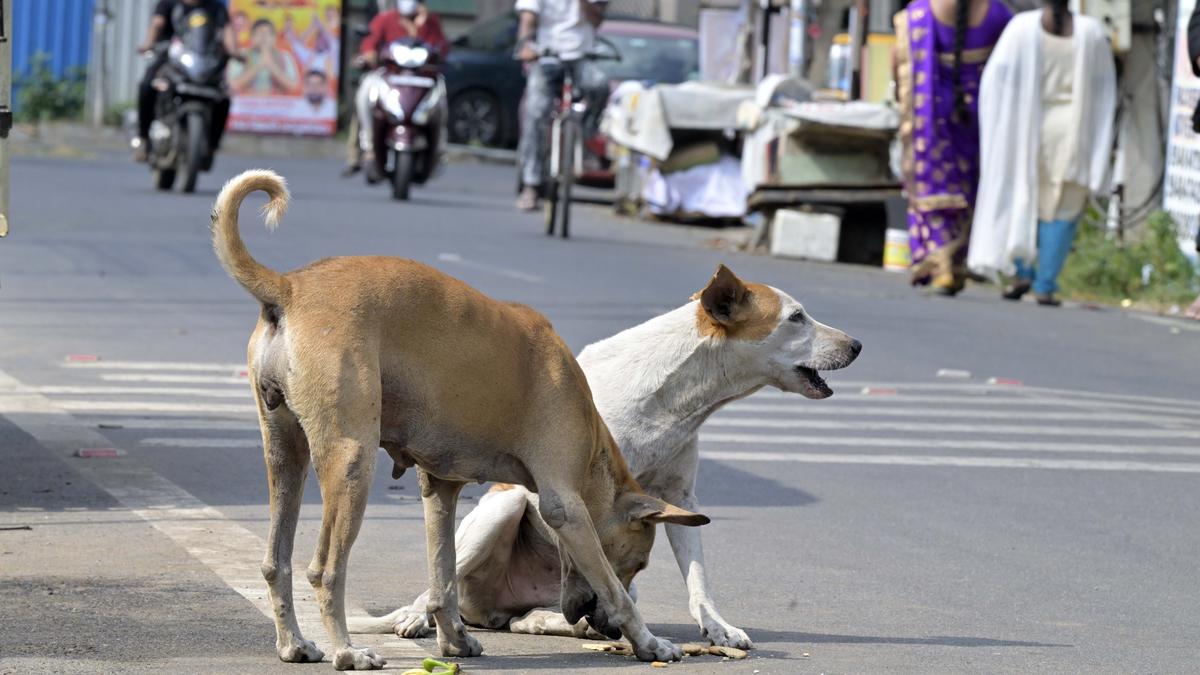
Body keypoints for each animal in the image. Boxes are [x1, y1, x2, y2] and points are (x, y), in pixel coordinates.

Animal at [211, 169, 705, 667]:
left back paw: (293, 643)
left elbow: (442, 579)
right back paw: (347, 651)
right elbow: (614, 591)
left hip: (284, 455)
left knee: (276, 561)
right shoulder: (565, 507)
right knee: (325, 569)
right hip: (352, 463)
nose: (601, 628)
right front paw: (649, 642)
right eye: (637, 563)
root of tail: (290, 287)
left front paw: (453, 640)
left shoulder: (440, 490)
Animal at [348, 263, 864, 648]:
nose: (857, 344)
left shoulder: (678, 498)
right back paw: (421, 615)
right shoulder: (557, 489)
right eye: (796, 317)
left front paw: (716, 625)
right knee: (447, 580)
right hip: (499, 510)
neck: (675, 398)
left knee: (530, 616)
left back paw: (553, 621)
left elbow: (695, 575)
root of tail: (493, 609)